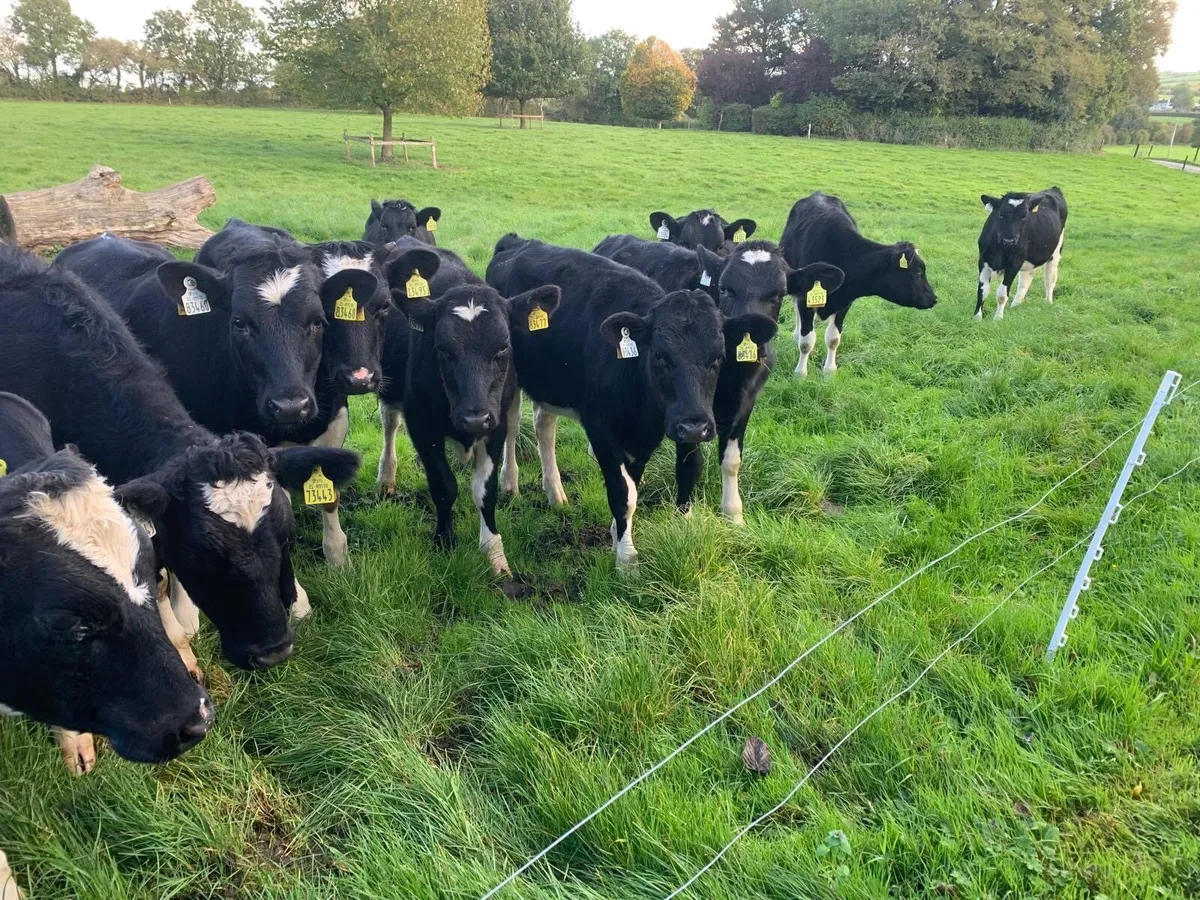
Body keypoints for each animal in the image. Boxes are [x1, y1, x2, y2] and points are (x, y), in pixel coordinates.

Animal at [383, 250, 560, 574]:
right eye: (442, 349)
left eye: (503, 347)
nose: (474, 418)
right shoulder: (421, 425)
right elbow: (444, 486)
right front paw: (445, 541)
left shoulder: (495, 424)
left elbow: (484, 491)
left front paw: (494, 552)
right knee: (389, 423)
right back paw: (385, 477)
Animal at [487, 236, 775, 571]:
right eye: (660, 356)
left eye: (718, 358)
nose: (694, 428)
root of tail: (517, 242)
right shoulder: (600, 428)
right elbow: (623, 493)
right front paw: (627, 562)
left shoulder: (643, 437)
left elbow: (632, 489)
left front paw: (616, 536)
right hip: (510, 377)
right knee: (511, 426)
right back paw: (510, 483)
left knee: (544, 426)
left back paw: (555, 493)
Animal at [596, 235, 844, 522]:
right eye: (725, 289)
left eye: (779, 294)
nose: (748, 337)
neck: (732, 376)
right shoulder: (687, 409)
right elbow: (690, 463)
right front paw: (684, 516)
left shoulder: (745, 403)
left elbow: (731, 460)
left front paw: (734, 514)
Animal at [780, 192, 938, 378]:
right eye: (919, 271)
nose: (933, 298)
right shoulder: (806, 298)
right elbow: (806, 342)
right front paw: (800, 374)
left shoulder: (845, 304)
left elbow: (833, 339)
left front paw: (829, 372)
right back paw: (796, 334)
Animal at [976, 187, 1067, 321]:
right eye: (1001, 214)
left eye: (1023, 217)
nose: (1009, 240)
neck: (1001, 249)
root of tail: (1053, 189)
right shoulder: (983, 260)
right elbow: (982, 291)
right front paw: (977, 317)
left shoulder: (1014, 263)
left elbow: (1002, 294)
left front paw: (997, 319)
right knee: (1025, 280)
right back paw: (1015, 305)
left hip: (1055, 252)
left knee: (1050, 279)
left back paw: (1048, 302)